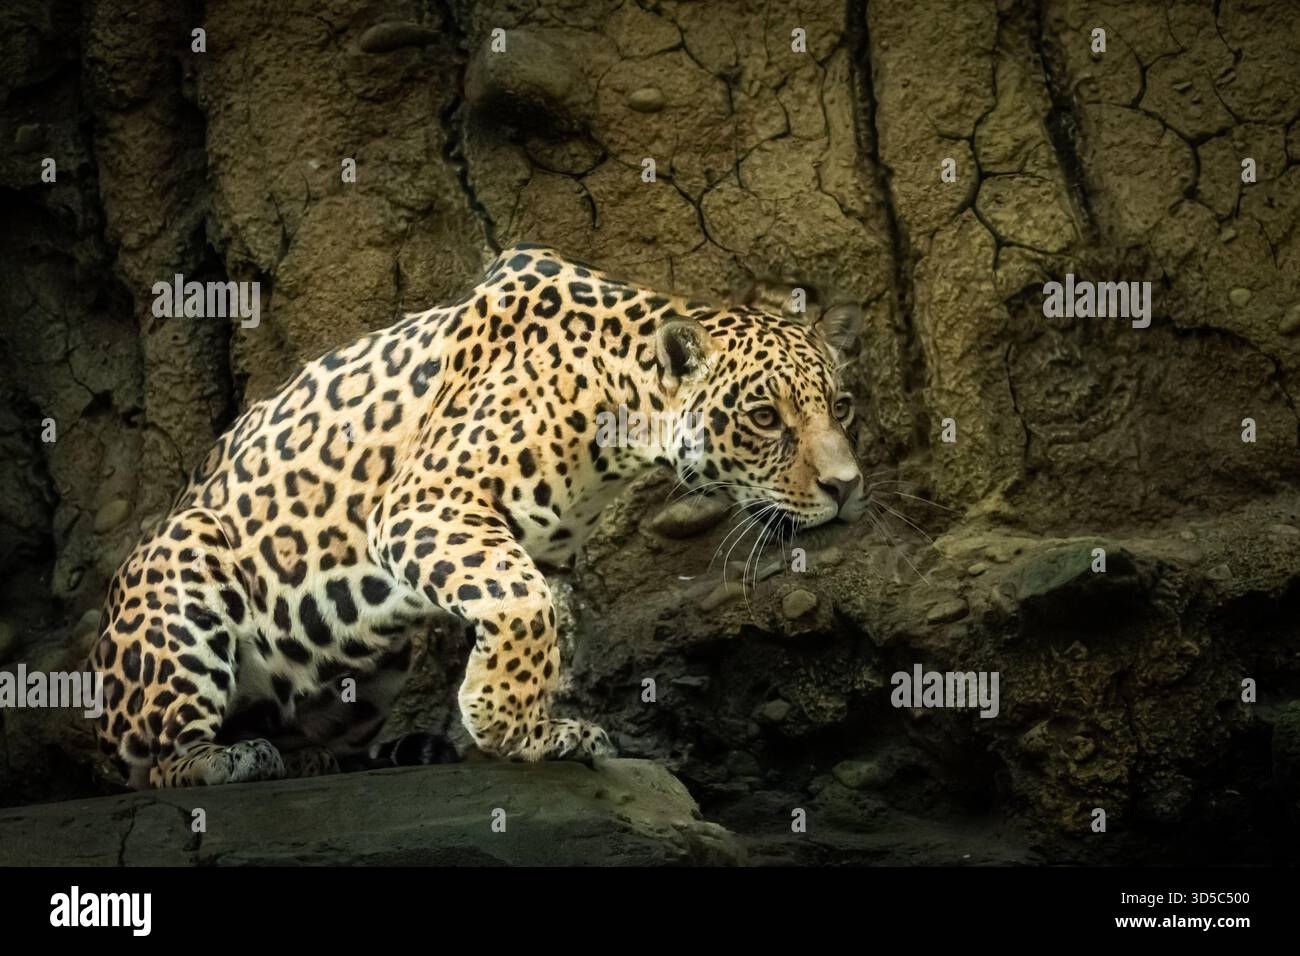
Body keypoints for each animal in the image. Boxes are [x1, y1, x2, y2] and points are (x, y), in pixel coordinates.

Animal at [88, 244, 866, 788]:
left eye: (843, 406)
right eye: (765, 418)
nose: (847, 486)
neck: (616, 405)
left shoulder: (530, 546)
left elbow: (533, 616)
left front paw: (523, 724)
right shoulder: (424, 503)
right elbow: (526, 606)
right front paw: (508, 726)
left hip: (374, 668)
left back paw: (317, 759)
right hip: (182, 564)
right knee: (153, 763)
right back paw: (228, 759)